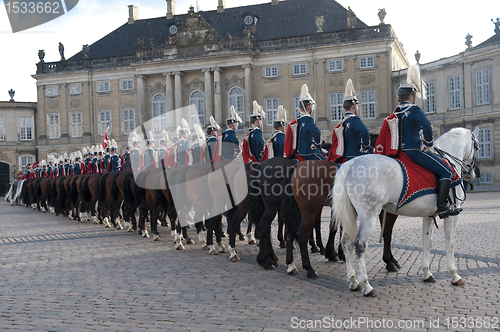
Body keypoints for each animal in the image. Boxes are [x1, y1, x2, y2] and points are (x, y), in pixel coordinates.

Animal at [330, 128, 478, 296]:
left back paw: (354, 281)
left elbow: (427, 242)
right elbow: (450, 243)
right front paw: (454, 275)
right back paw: (367, 286)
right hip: (368, 216)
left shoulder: (428, 215)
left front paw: (427, 273)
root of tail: (352, 162)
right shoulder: (452, 215)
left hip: (352, 214)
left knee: (346, 242)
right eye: (477, 147)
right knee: (359, 245)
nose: (471, 174)